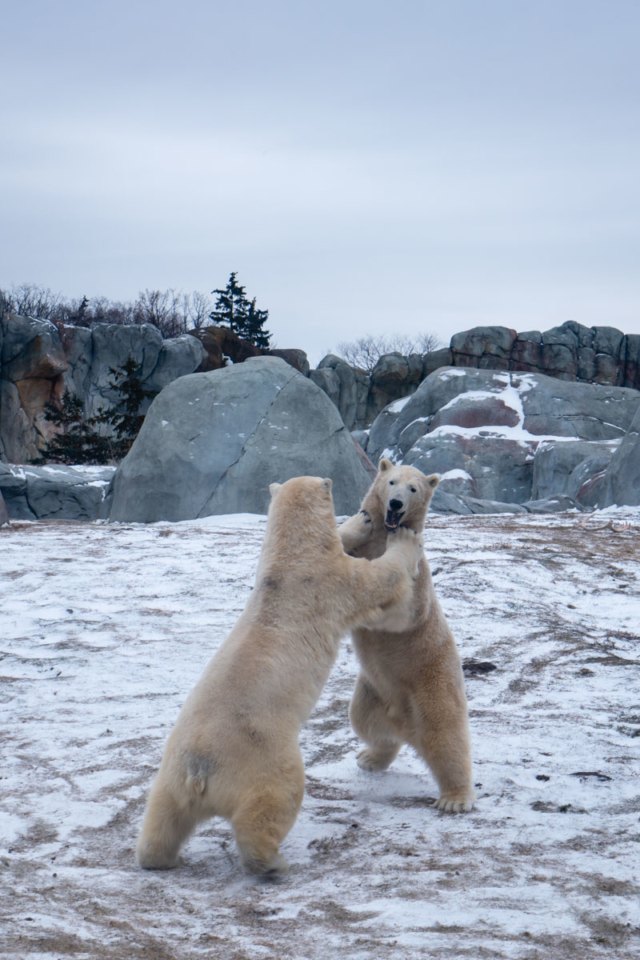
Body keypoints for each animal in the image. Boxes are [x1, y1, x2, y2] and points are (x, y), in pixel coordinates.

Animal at [137, 476, 422, 872]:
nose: (369, 513)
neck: (289, 559)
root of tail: (200, 769)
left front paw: (359, 522)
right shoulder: (331, 583)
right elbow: (378, 580)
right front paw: (403, 541)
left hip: (170, 775)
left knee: (163, 817)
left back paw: (157, 857)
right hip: (263, 758)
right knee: (275, 800)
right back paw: (272, 861)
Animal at [340, 458, 476, 808]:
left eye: (413, 488)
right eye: (391, 482)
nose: (396, 504)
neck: (382, 539)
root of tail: (404, 720)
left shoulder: (419, 578)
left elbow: (403, 610)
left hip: (432, 682)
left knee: (445, 735)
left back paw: (455, 798)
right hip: (373, 690)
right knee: (365, 721)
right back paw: (370, 757)